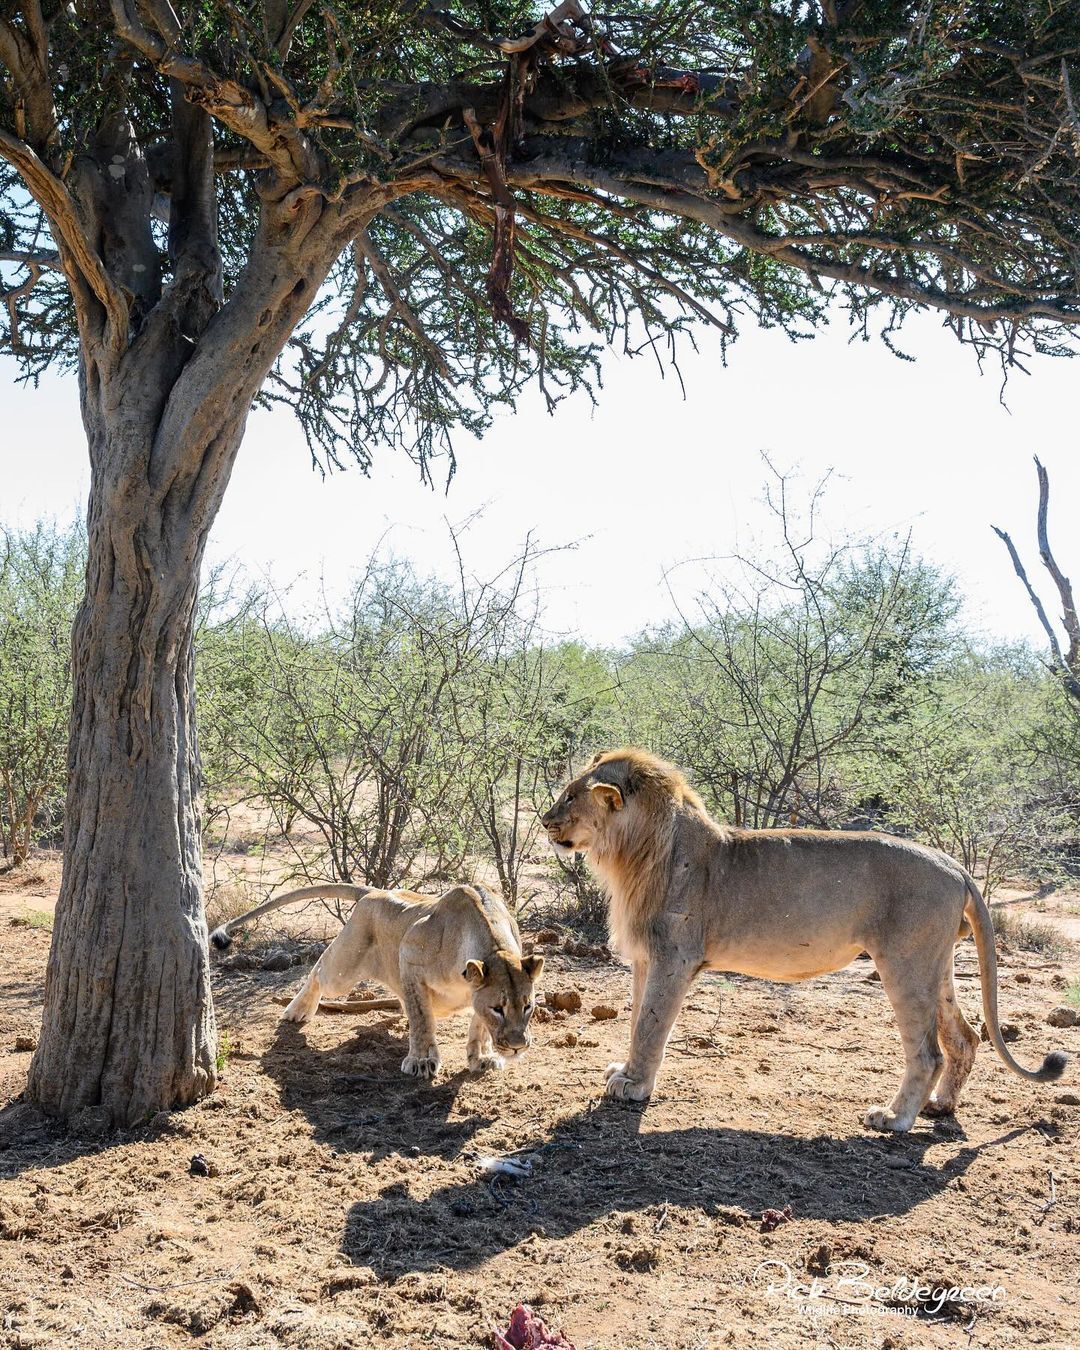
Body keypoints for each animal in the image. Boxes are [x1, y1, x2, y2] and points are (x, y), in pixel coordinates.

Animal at [211, 880, 545, 1080]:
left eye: (527, 1006)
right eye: (498, 1009)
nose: (518, 1047)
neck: (494, 947)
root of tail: (375, 891)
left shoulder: (474, 993)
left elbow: (478, 1026)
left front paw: (483, 1057)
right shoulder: (409, 955)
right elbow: (422, 1019)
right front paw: (421, 1061)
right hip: (343, 970)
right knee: (319, 969)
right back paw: (297, 1010)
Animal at [545, 750, 1069, 1128]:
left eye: (570, 797)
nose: (547, 822)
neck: (631, 853)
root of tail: (954, 865)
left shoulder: (674, 957)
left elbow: (651, 1026)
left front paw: (633, 1086)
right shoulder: (645, 958)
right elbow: (637, 1019)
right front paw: (625, 1072)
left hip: (904, 962)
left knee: (928, 1051)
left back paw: (894, 1118)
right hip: (936, 966)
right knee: (964, 1037)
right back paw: (940, 1107)